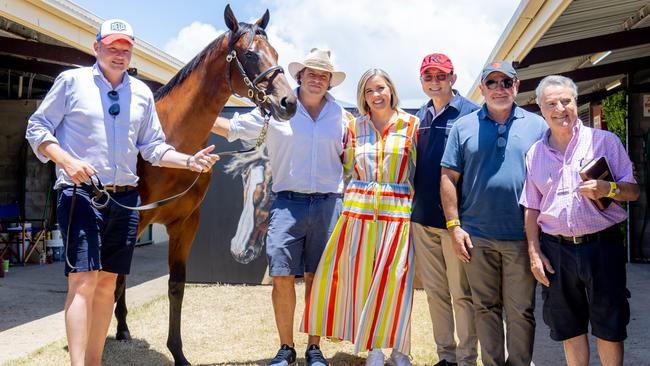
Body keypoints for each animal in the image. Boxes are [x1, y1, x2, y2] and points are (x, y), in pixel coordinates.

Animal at [110, 4, 296, 364]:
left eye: (276, 53)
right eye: (250, 54)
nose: (288, 102)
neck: (173, 143)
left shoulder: (186, 223)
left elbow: (177, 286)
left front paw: (178, 352)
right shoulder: (138, 217)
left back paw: (123, 328)